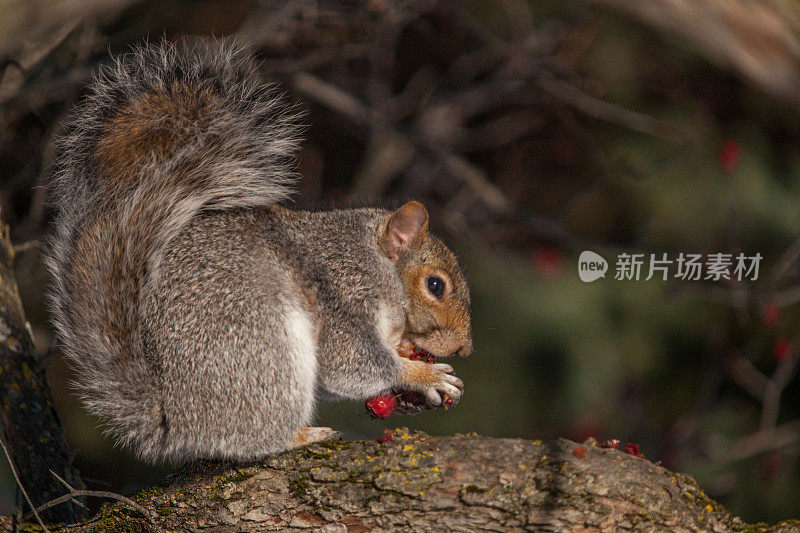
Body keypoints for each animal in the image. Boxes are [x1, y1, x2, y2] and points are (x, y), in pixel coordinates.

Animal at [47, 39, 472, 462]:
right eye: (435, 286)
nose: (463, 349)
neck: (377, 261)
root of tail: (178, 423)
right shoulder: (346, 292)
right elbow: (348, 363)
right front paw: (423, 375)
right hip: (264, 349)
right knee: (254, 438)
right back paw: (302, 436)